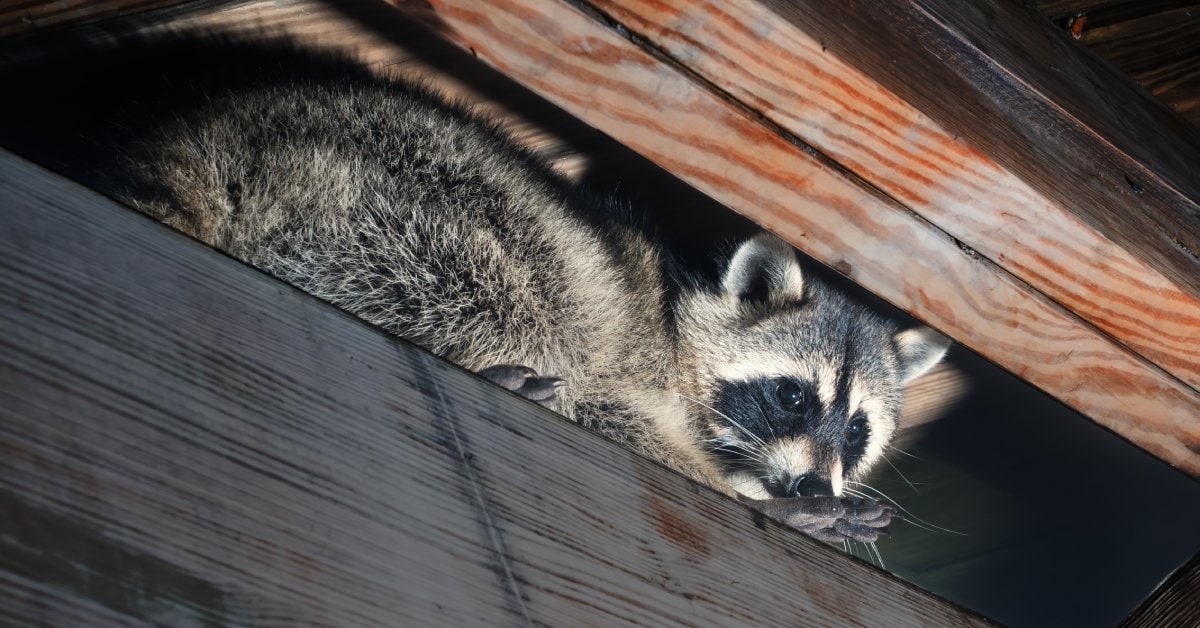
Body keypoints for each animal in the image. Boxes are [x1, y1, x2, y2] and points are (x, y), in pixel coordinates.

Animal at [2, 35, 945, 545]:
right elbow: (614, 411)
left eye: (856, 431)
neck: (678, 319)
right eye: (791, 396)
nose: (814, 488)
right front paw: (752, 498)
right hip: (399, 201)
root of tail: (209, 133)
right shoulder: (627, 362)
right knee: (511, 287)